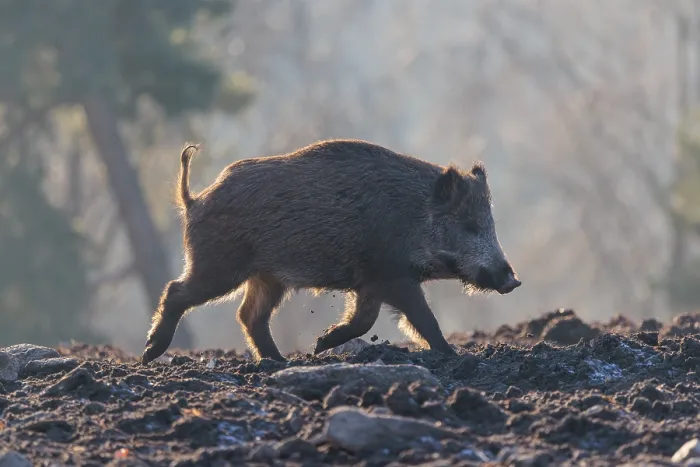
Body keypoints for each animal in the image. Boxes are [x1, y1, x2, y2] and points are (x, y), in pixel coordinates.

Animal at [141, 139, 520, 364]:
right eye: (470, 226)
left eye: (491, 224)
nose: (513, 281)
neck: (413, 218)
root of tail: (194, 200)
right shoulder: (392, 276)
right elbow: (422, 318)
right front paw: (453, 356)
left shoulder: (371, 283)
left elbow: (364, 320)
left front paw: (320, 345)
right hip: (219, 264)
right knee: (176, 291)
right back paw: (149, 353)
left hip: (268, 277)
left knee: (249, 315)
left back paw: (279, 362)